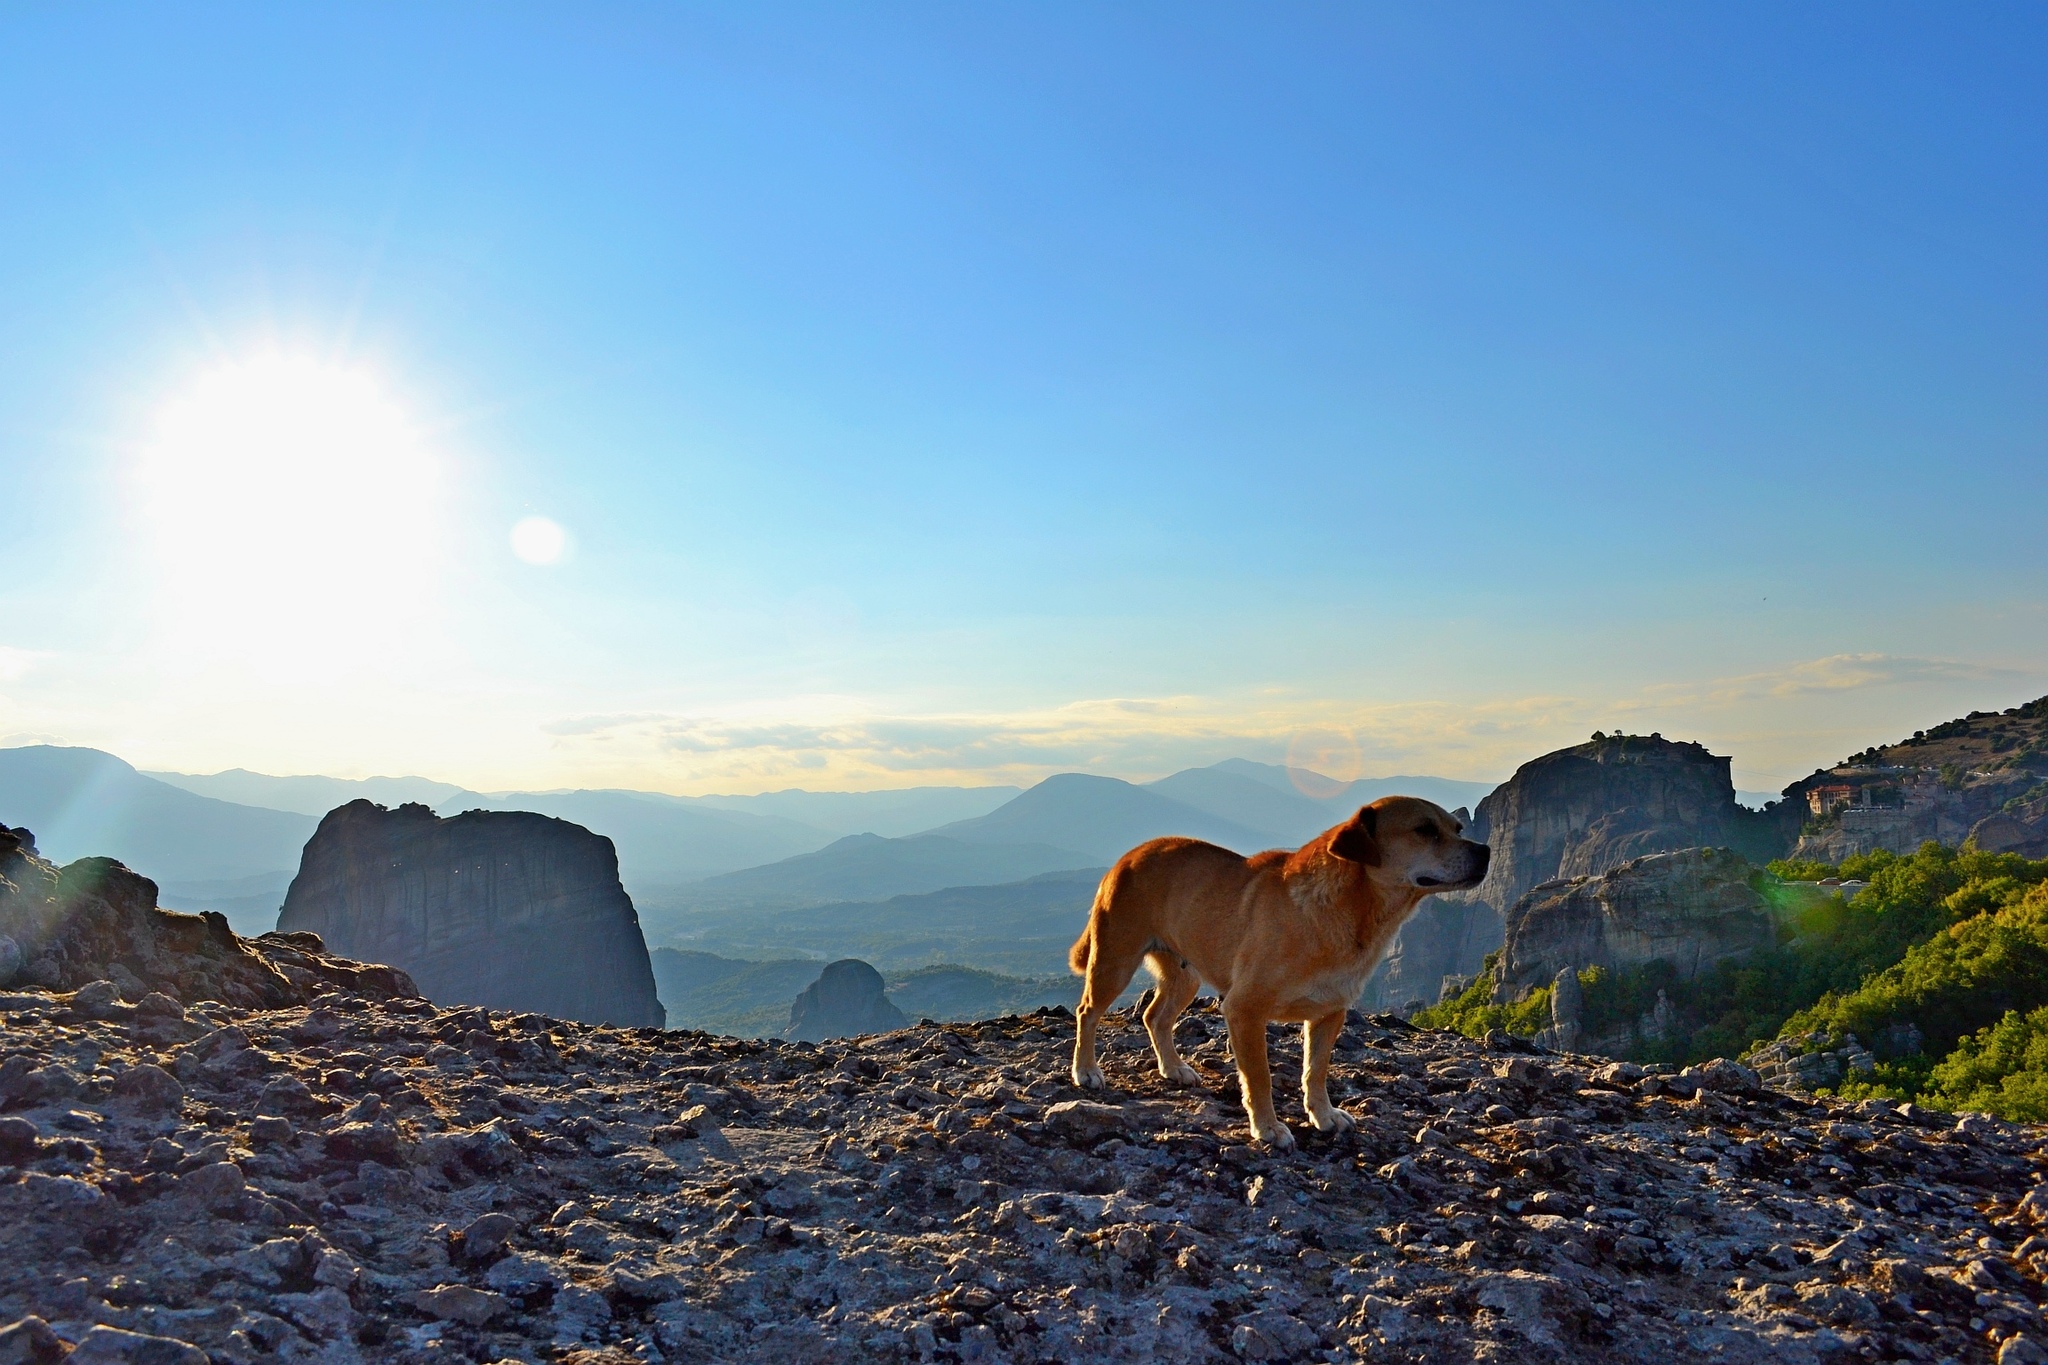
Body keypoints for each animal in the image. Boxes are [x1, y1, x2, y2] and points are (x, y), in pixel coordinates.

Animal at [1073, 794, 1490, 1146]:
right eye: (1425, 829)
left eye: (1458, 828)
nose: (1486, 851)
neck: (1348, 911)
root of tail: (1128, 855)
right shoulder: (1244, 1009)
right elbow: (1260, 1077)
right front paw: (1268, 1127)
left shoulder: (1329, 1012)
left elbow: (1315, 1071)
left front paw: (1323, 1115)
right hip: (1114, 961)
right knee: (1087, 1012)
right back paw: (1086, 1071)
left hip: (1185, 974)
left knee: (1154, 1016)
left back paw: (1173, 1068)